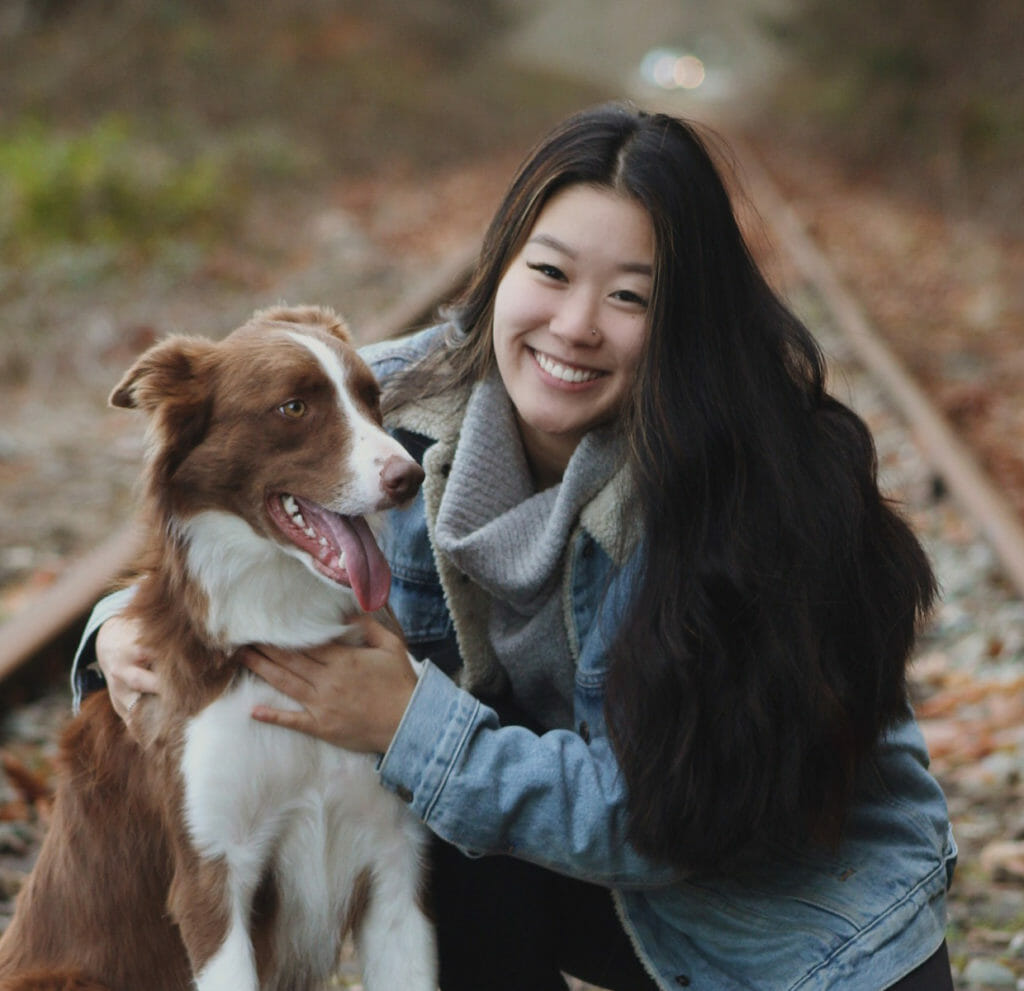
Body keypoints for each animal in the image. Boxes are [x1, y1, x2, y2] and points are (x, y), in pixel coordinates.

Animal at [0, 305, 436, 986]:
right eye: (293, 407)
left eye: (371, 399)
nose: (409, 477)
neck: (284, 629)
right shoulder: (212, 880)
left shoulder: (395, 872)